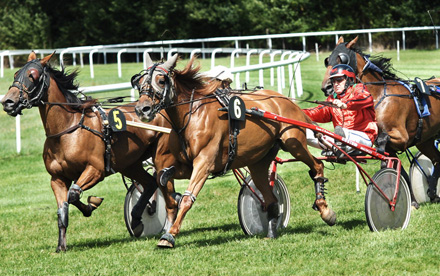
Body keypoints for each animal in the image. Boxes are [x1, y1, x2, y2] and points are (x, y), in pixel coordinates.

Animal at [0, 51, 186, 252]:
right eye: (16, 74)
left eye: (32, 75)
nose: (7, 102)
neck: (67, 129)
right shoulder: (57, 178)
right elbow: (62, 209)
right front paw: (61, 246)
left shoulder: (95, 170)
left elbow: (73, 194)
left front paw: (91, 205)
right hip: (129, 163)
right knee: (150, 183)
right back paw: (137, 218)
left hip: (160, 156)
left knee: (163, 184)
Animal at [134, 53, 334, 248]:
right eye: (139, 81)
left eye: (161, 80)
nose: (142, 109)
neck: (192, 115)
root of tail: (287, 101)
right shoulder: (188, 164)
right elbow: (164, 180)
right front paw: (168, 197)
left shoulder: (204, 163)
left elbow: (186, 198)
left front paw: (169, 235)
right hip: (259, 161)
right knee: (270, 198)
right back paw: (271, 232)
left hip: (293, 143)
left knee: (317, 165)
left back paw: (325, 210)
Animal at [320, 36, 440, 204]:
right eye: (328, 59)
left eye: (342, 58)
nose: (327, 87)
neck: (379, 95)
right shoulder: (393, 146)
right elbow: (398, 169)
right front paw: (411, 200)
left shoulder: (402, 138)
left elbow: (381, 142)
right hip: (425, 141)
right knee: (437, 159)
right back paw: (433, 192)